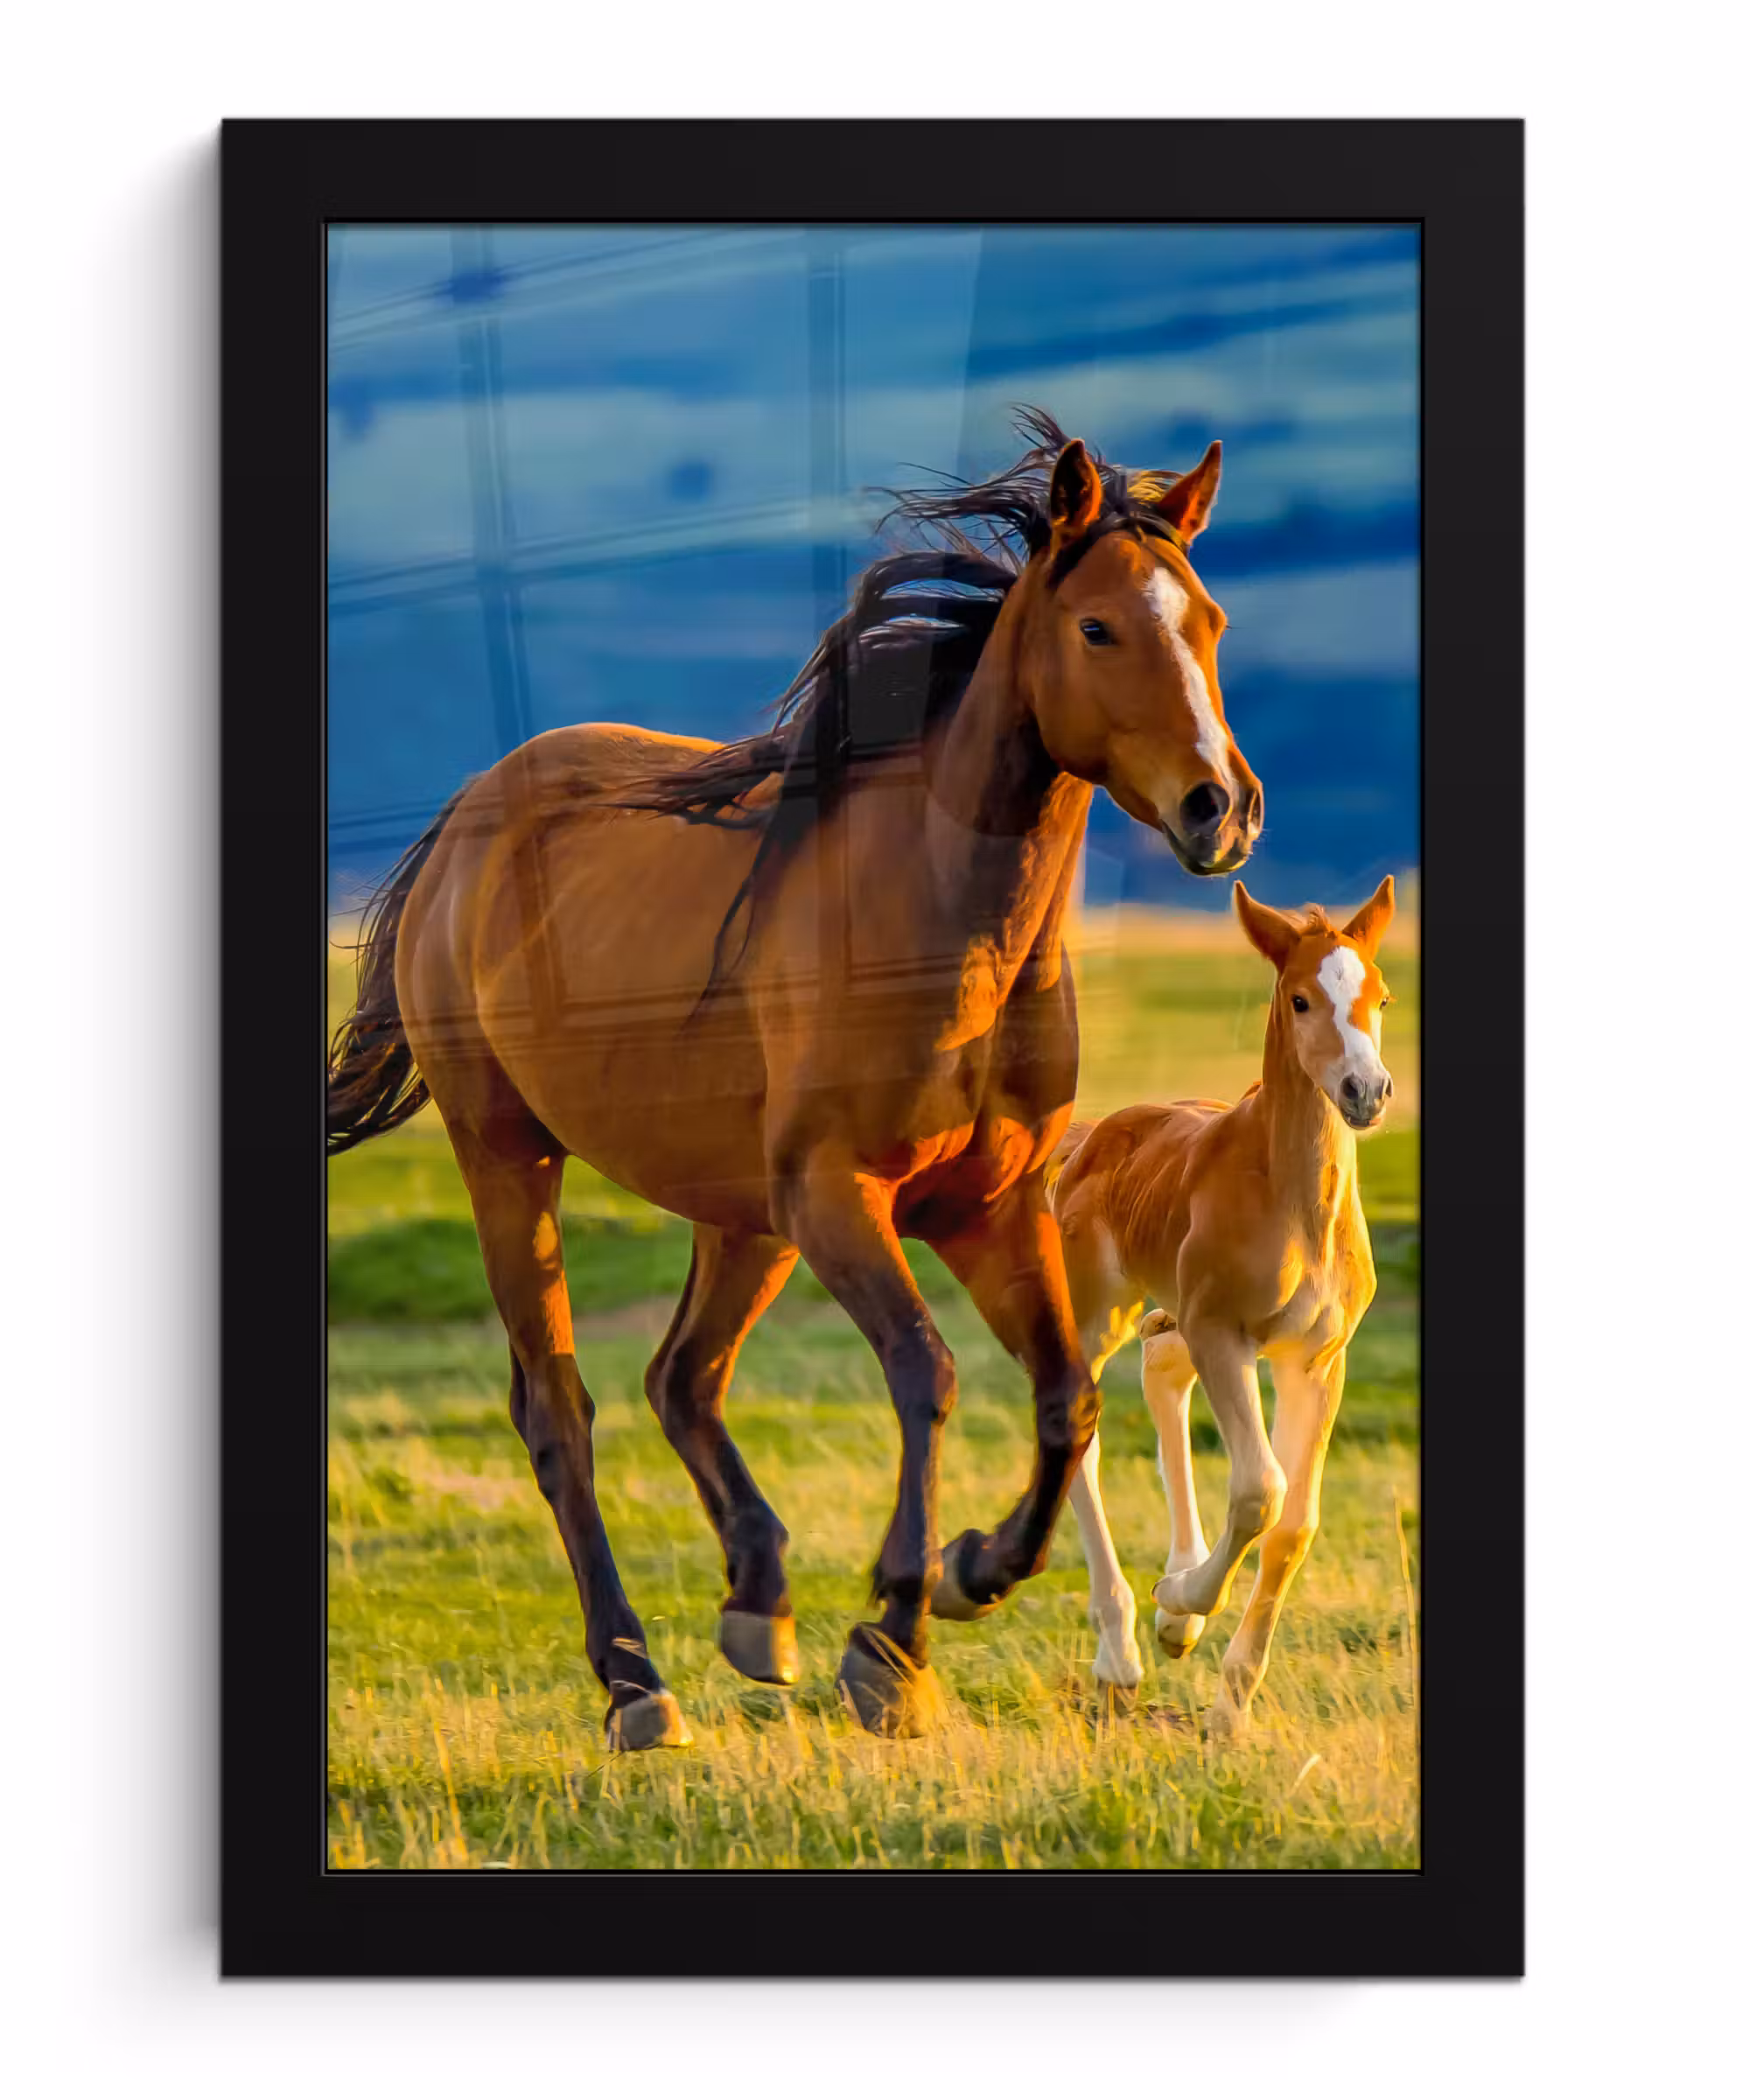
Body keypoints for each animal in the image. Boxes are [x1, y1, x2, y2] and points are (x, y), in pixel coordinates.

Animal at [326, 408, 1263, 1746]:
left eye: (1211, 622)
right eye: (1097, 628)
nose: (1219, 809)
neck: (943, 926)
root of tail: (463, 821)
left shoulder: (989, 1209)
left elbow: (1066, 1398)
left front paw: (974, 1572)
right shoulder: (839, 1197)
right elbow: (926, 1375)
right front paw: (892, 1641)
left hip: (740, 1216)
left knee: (682, 1378)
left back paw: (755, 1606)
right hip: (512, 1159)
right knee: (560, 1410)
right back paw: (635, 1682)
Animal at [1047, 877, 1396, 1736]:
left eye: (1380, 996)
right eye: (1301, 999)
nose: (1366, 1092)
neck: (1296, 1204)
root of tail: (1092, 1135)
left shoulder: (1316, 1360)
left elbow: (1295, 1522)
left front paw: (1229, 1705)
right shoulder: (1224, 1334)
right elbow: (1259, 1490)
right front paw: (1179, 1601)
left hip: (1174, 1316)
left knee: (1161, 1371)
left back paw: (1169, 1620)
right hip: (1099, 1311)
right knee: (1081, 1424)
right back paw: (1124, 1651)